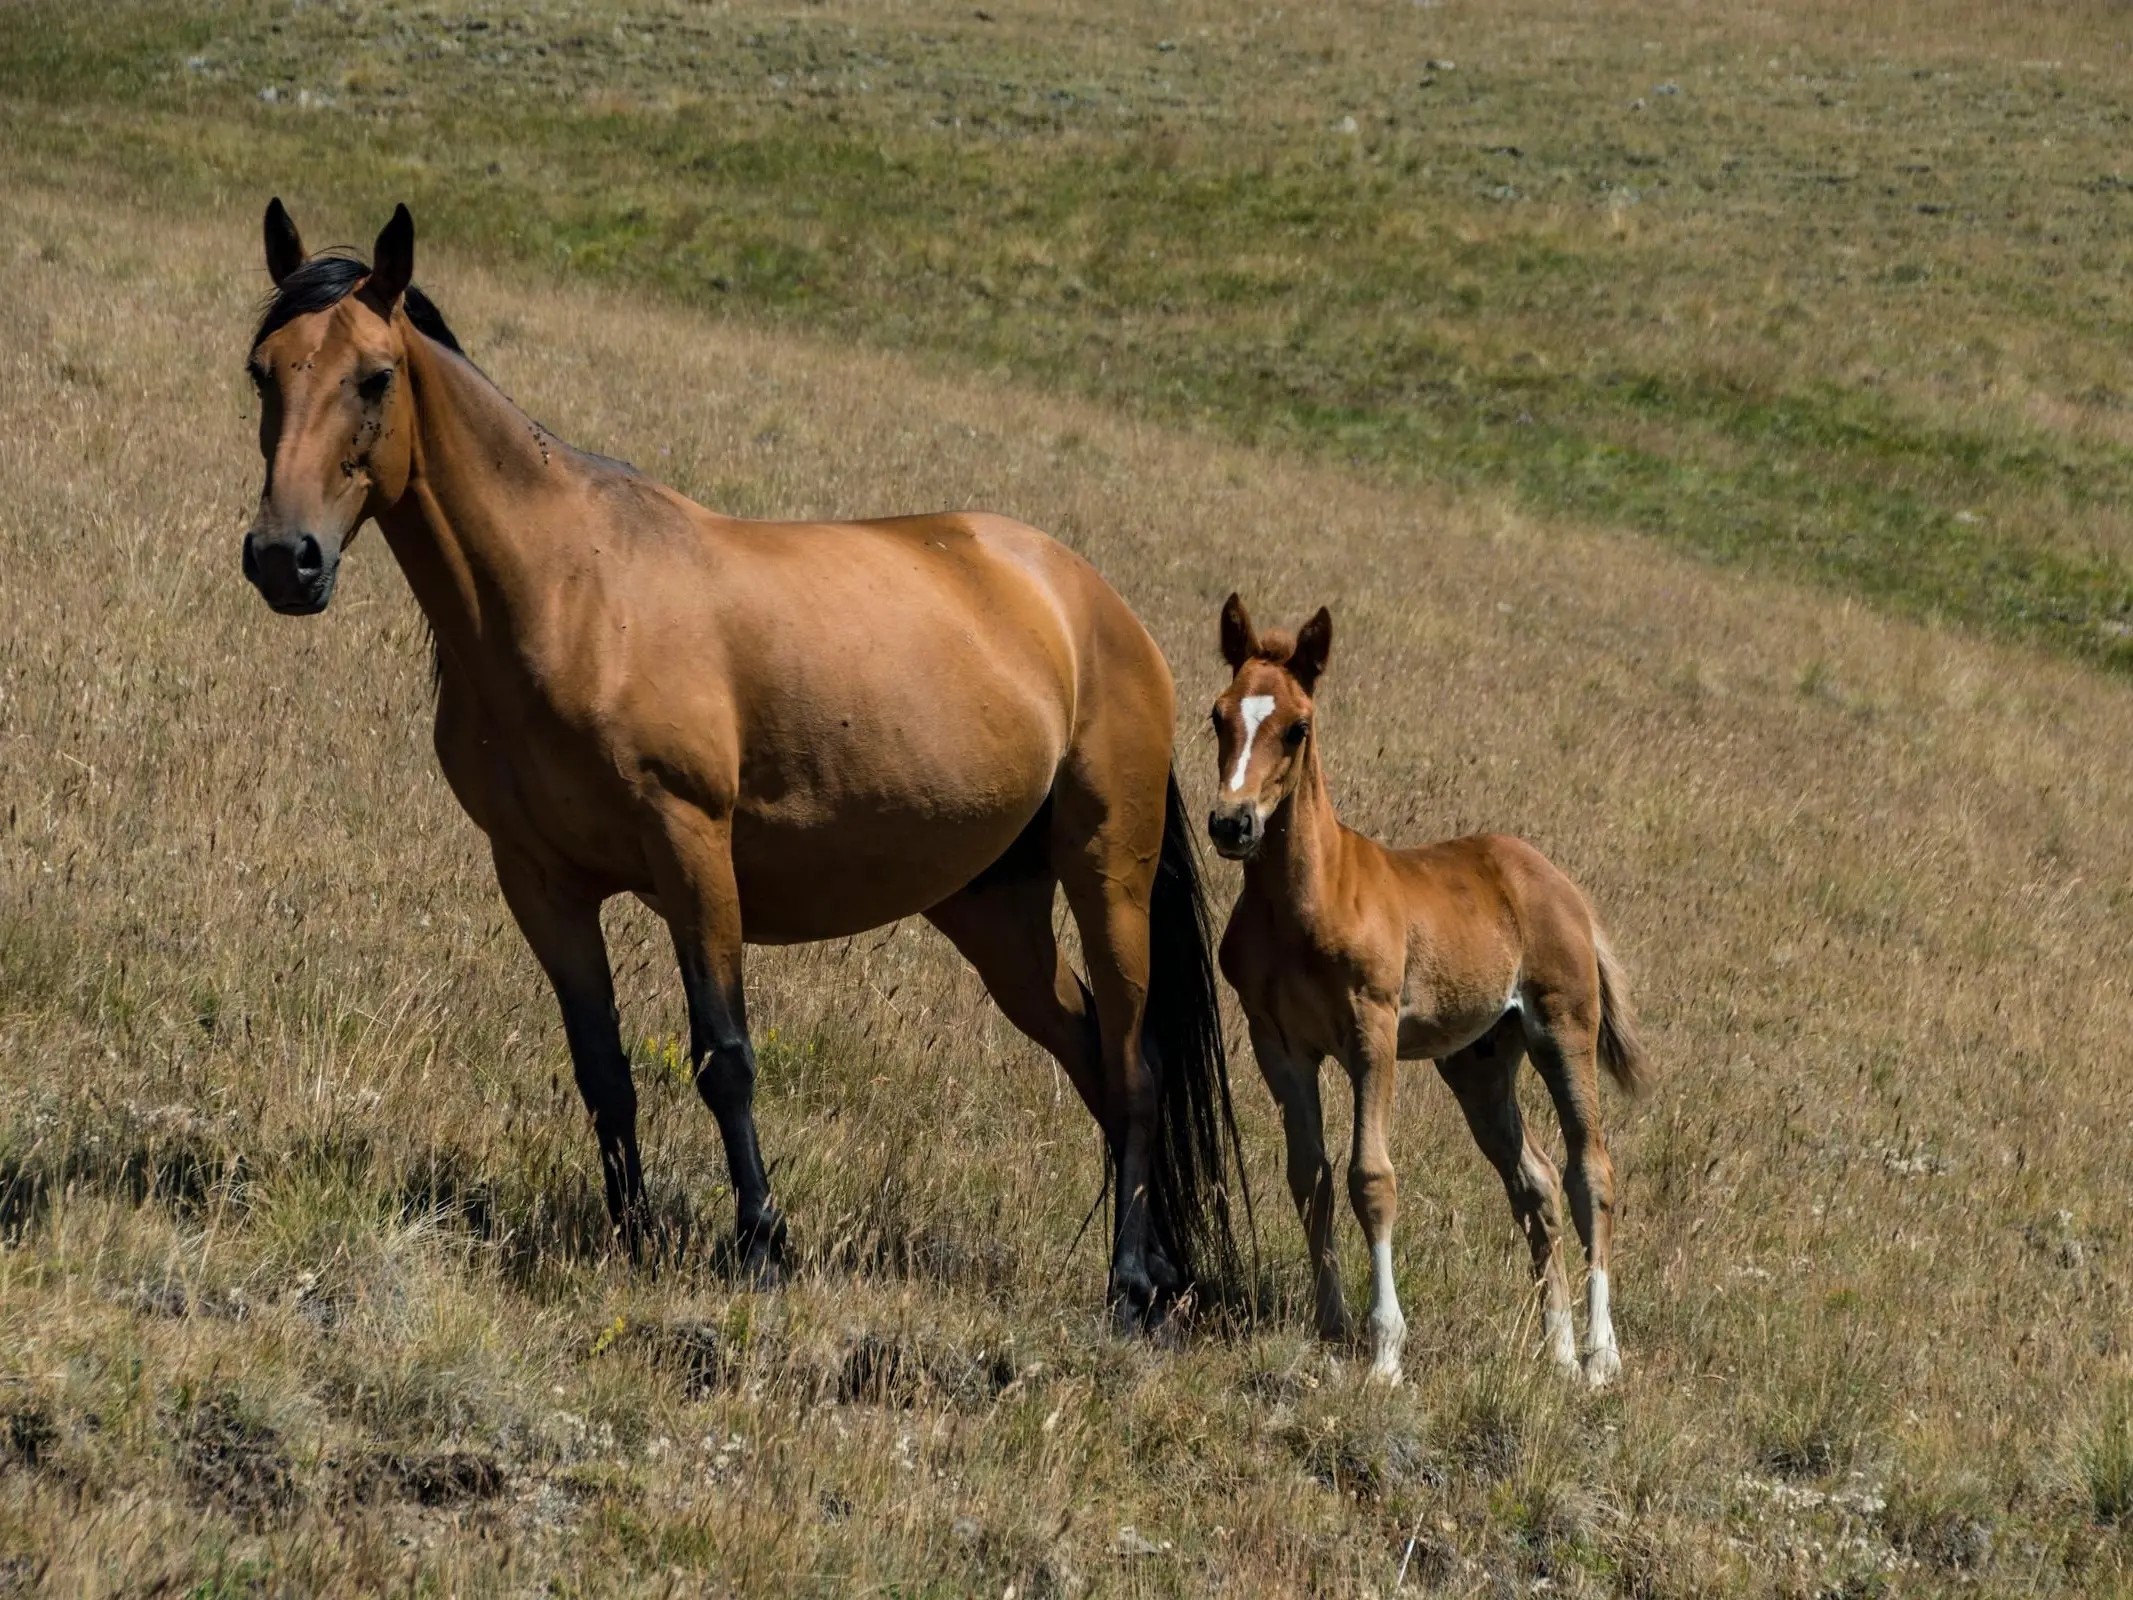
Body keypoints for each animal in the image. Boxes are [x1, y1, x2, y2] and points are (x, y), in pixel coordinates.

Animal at [234, 197, 1243, 1324]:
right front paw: (631, 1238)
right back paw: (1159, 1270)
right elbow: (602, 1067)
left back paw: (1129, 1287)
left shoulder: (692, 854)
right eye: (263, 371)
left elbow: (726, 1057)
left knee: (1136, 1062)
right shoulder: (539, 880)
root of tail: (1096, 605)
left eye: (375, 376)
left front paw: (761, 1245)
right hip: (993, 907)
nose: (285, 560)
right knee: (1089, 1055)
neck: (567, 595)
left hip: (1106, 869)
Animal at [1204, 595, 1647, 1384]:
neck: (1306, 900)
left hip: (1563, 1031)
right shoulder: (1277, 1044)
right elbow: (1310, 1177)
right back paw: (1559, 1353)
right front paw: (1331, 1329)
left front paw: (1385, 1352)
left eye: (1296, 727)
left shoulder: (1370, 1032)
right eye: (1217, 715)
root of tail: (1560, 885)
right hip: (1478, 1063)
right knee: (1534, 1181)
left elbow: (1370, 1177)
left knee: (1589, 1172)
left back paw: (1601, 1357)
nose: (1232, 823)